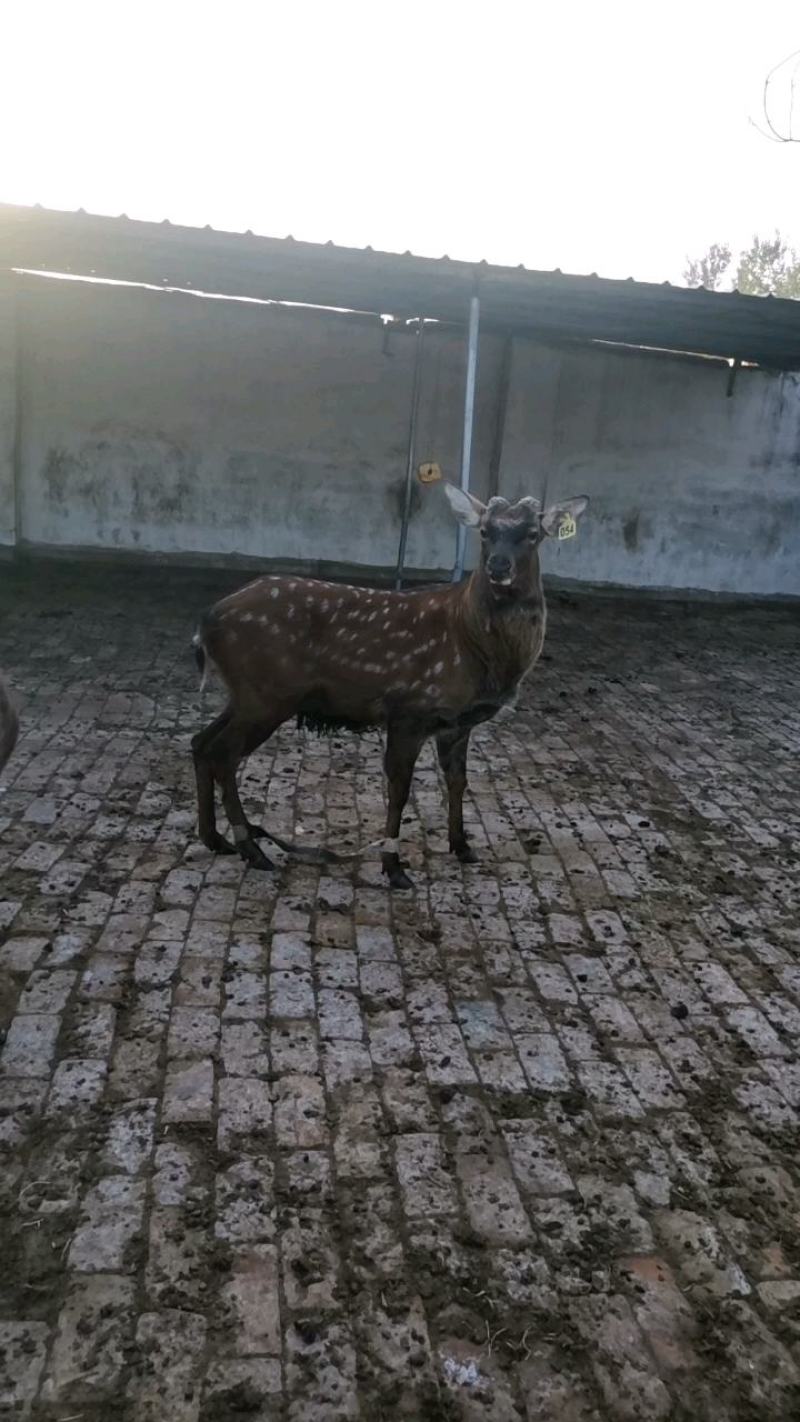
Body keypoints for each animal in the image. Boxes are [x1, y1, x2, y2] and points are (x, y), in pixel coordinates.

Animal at [191, 484, 588, 888]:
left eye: (533, 534)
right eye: (484, 531)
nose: (498, 566)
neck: (474, 647)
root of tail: (206, 623)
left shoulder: (456, 724)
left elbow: (457, 781)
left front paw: (462, 846)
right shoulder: (410, 710)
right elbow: (399, 789)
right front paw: (394, 867)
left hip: (246, 696)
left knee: (200, 742)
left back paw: (216, 838)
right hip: (266, 696)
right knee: (223, 753)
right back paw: (251, 849)